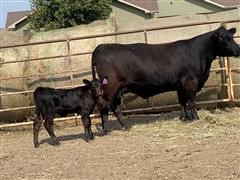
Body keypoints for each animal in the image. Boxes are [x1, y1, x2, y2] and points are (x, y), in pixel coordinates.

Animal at [92, 25, 240, 132]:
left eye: (231, 37)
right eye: (222, 38)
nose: (238, 49)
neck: (199, 52)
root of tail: (102, 46)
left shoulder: (180, 85)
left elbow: (182, 102)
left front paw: (185, 118)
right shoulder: (190, 82)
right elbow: (192, 102)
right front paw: (196, 118)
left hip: (117, 90)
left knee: (115, 107)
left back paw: (124, 126)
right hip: (110, 87)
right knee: (104, 105)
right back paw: (106, 129)